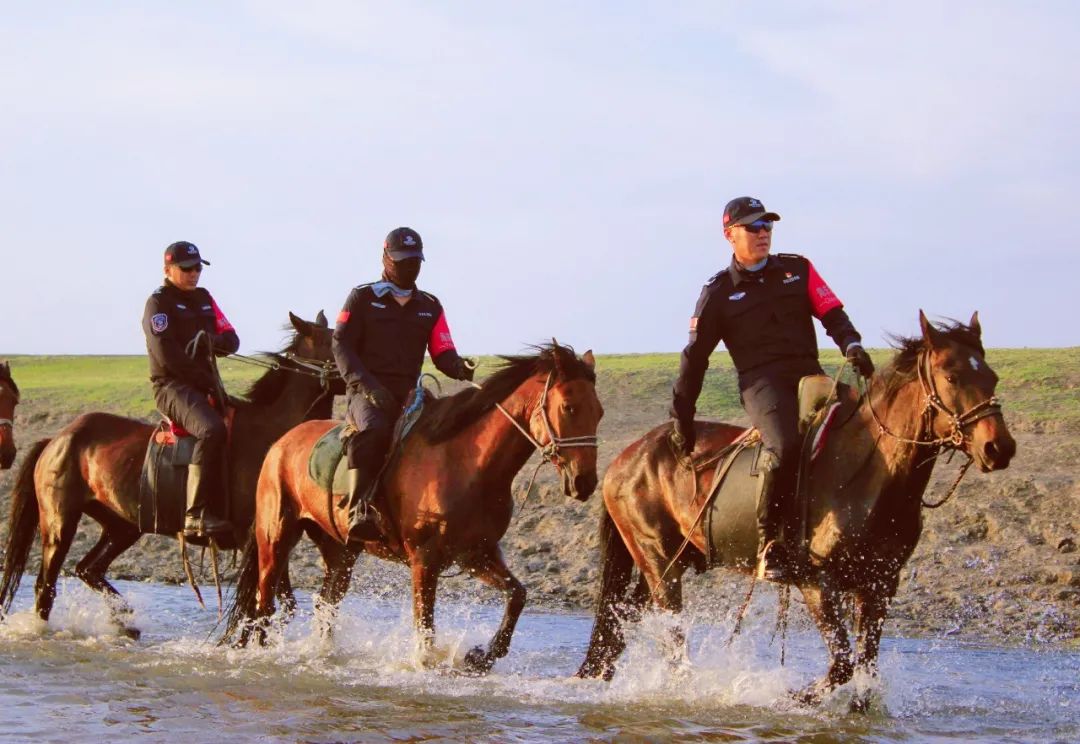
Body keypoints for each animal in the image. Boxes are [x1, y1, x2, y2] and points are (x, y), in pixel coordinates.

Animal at [0, 310, 339, 634]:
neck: (273, 434)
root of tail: (57, 439)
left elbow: (285, 605)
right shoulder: (255, 538)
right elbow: (274, 604)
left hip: (122, 526)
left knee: (88, 569)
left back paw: (127, 621)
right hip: (59, 523)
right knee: (46, 587)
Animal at [222, 343, 604, 673]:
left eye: (598, 412)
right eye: (568, 407)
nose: (584, 482)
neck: (467, 465)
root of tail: (281, 443)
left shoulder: (475, 554)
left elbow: (517, 595)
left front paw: (482, 656)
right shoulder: (425, 559)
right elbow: (425, 627)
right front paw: (427, 664)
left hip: (340, 551)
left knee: (326, 603)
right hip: (275, 537)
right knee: (264, 601)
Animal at [578, 310, 1015, 704]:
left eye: (992, 377)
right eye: (952, 377)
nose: (999, 447)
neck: (867, 472)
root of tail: (622, 460)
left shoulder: (878, 586)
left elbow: (865, 671)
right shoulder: (815, 582)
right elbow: (842, 667)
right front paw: (785, 697)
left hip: (669, 562)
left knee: (622, 622)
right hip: (660, 563)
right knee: (671, 639)